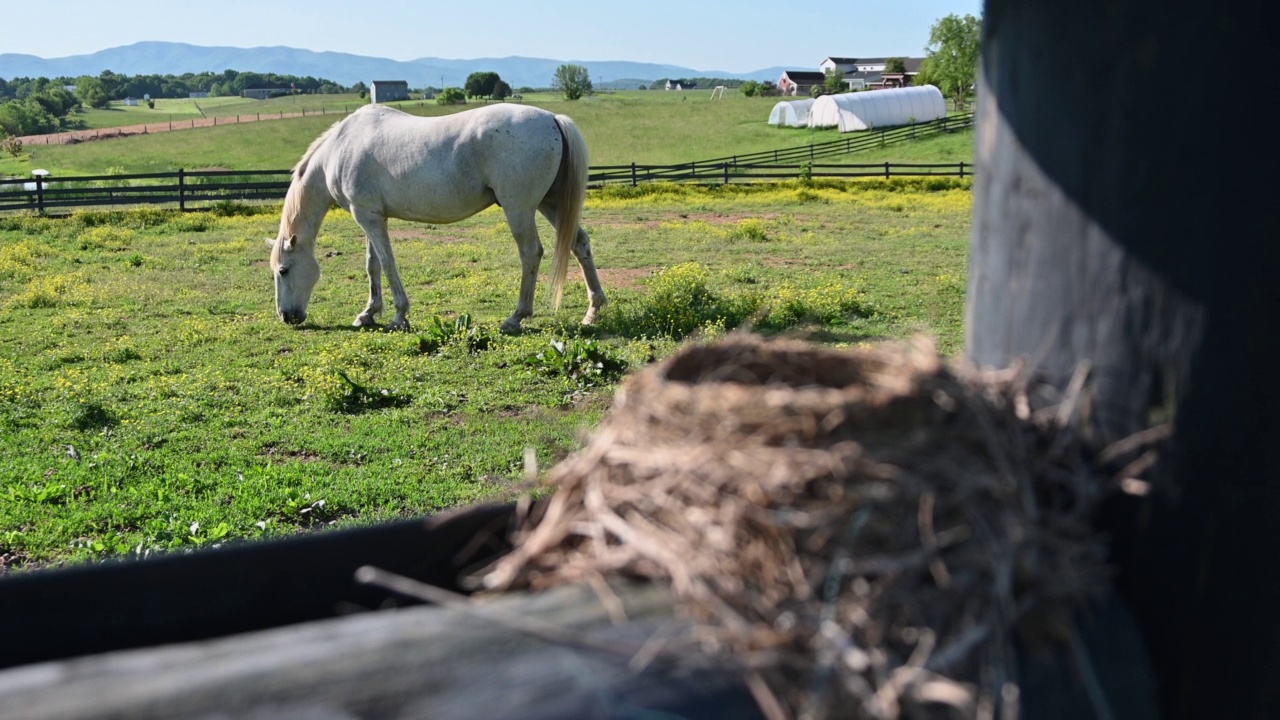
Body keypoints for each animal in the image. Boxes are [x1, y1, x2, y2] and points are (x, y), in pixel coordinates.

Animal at [266, 101, 604, 330]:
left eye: (283, 270)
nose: (287, 317)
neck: (340, 148)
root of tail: (552, 119)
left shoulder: (367, 217)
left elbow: (387, 263)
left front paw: (398, 316)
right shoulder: (372, 216)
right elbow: (372, 265)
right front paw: (367, 314)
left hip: (519, 209)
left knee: (531, 252)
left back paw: (516, 317)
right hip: (551, 204)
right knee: (580, 244)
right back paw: (593, 310)